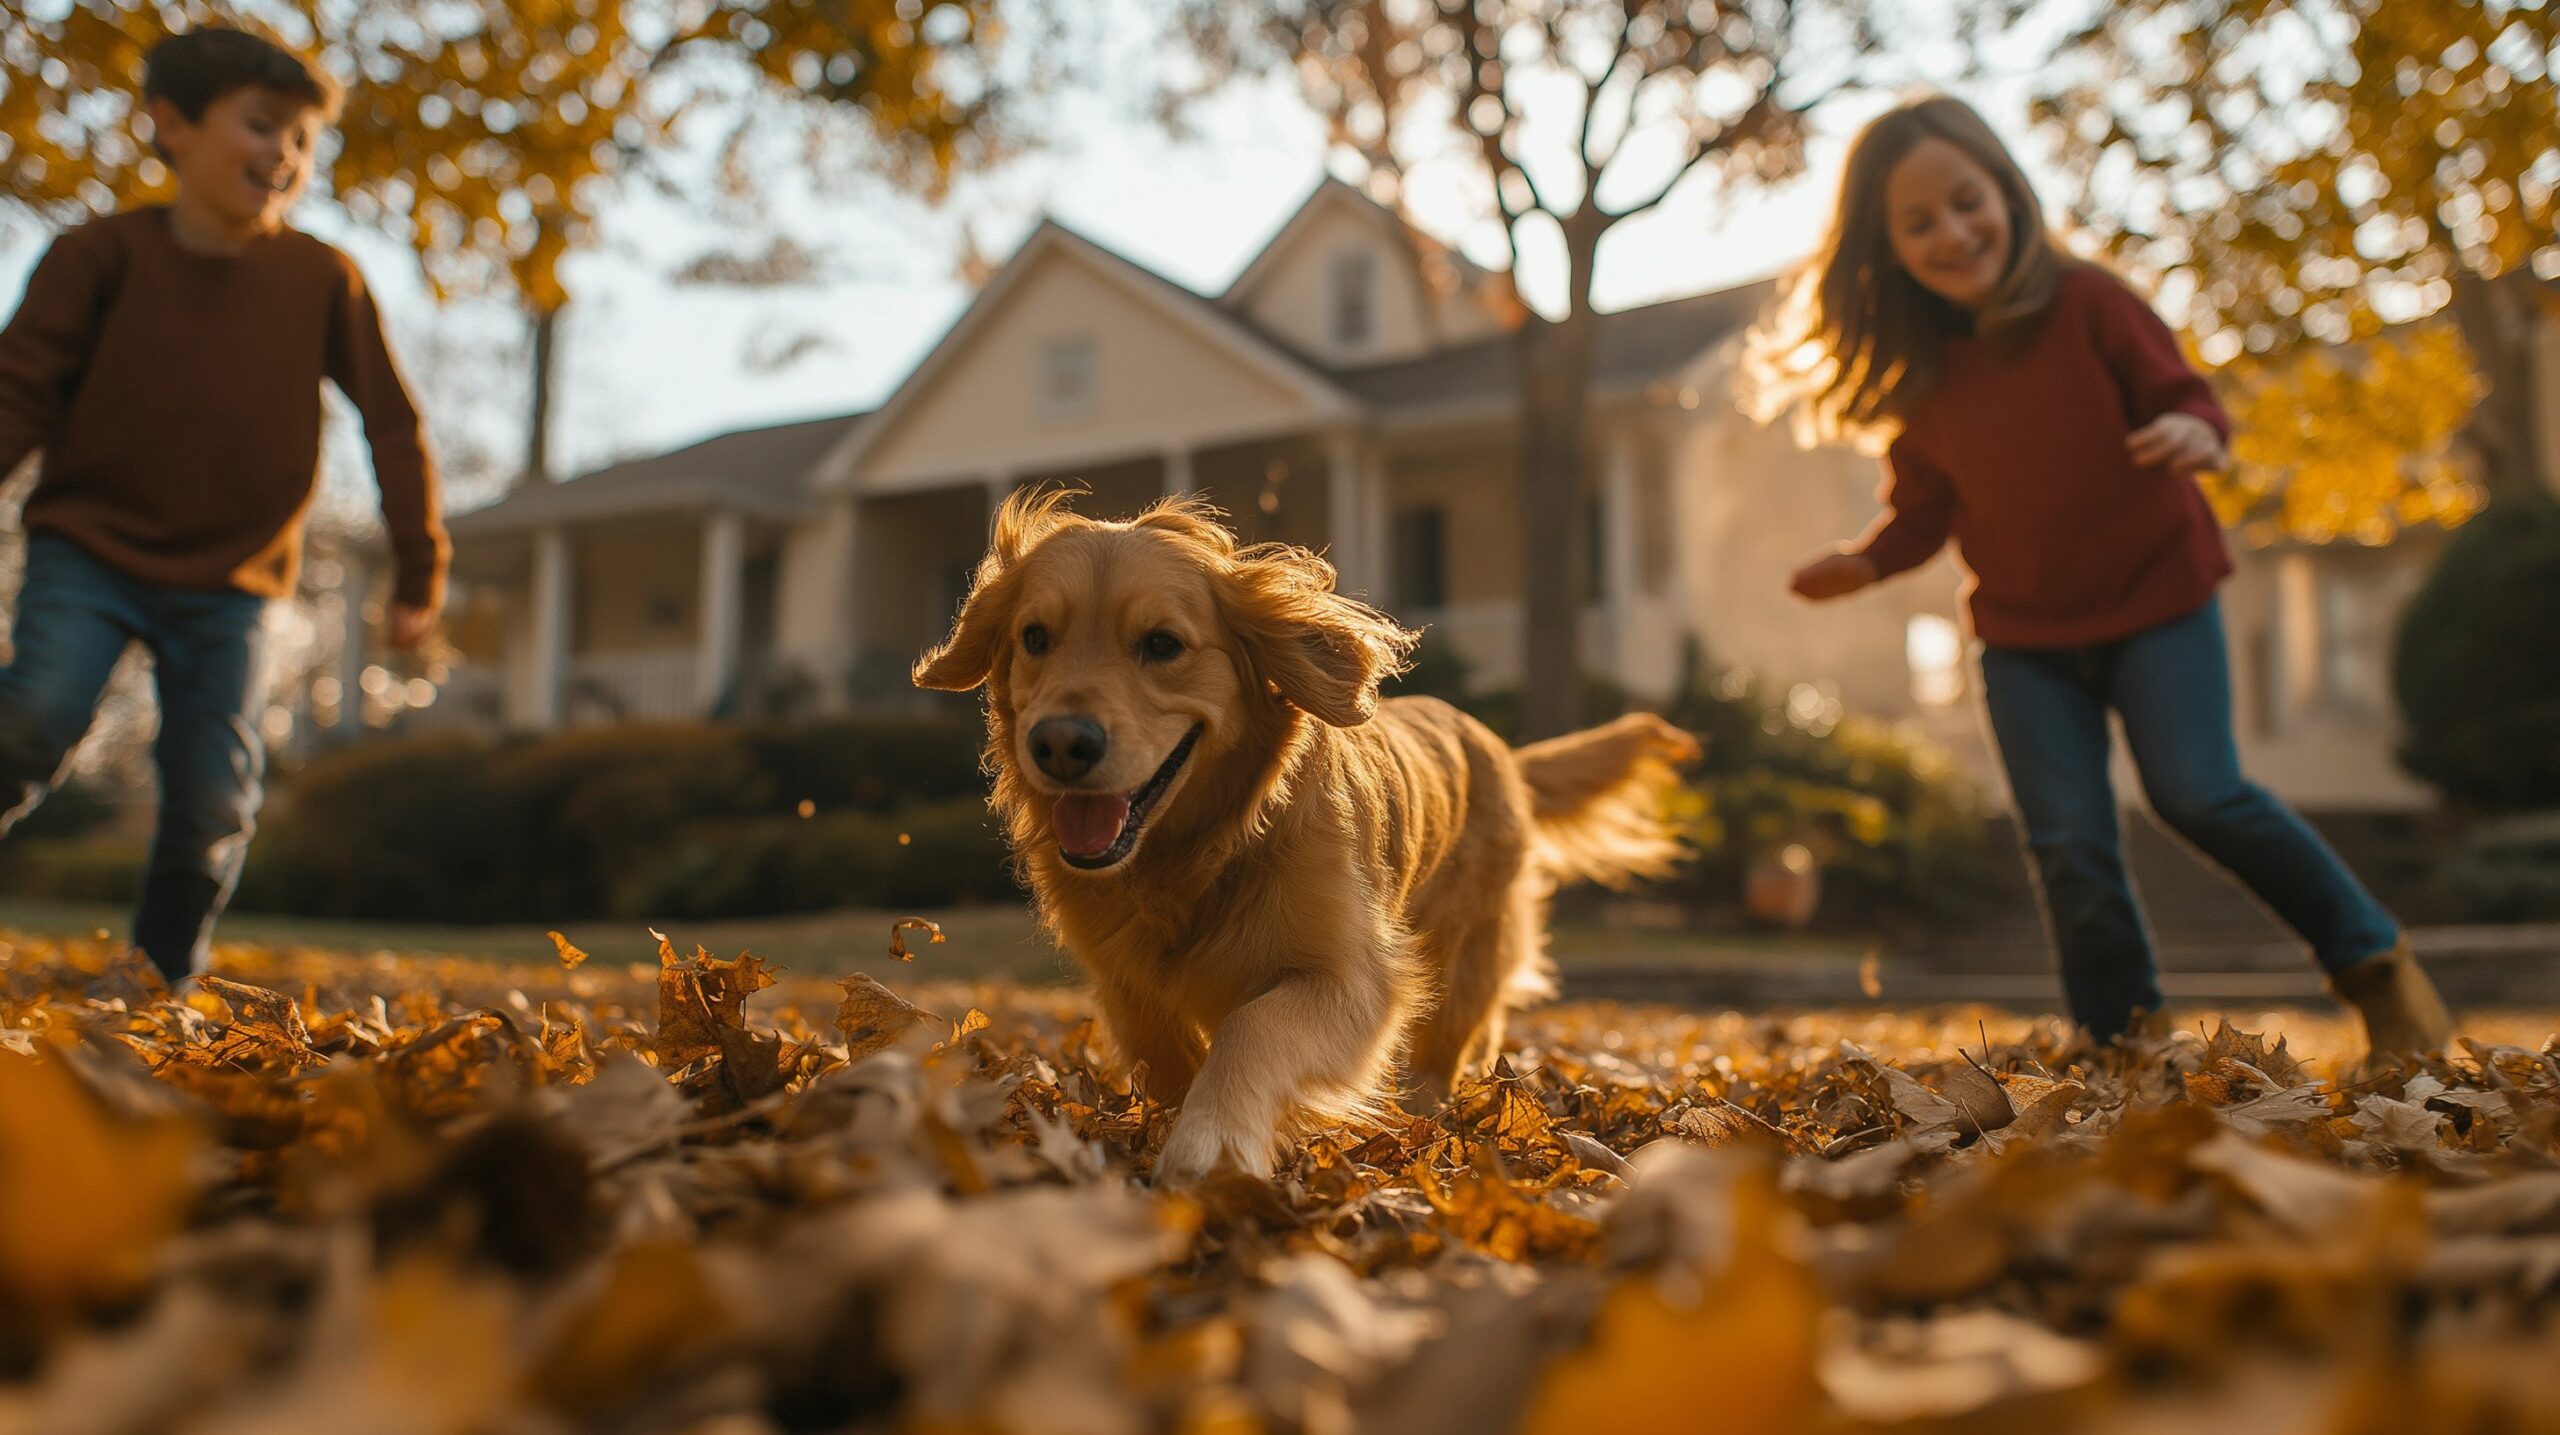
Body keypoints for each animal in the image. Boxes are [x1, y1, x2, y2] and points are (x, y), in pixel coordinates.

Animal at [921, 486, 1699, 1181]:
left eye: (1162, 644)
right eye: (1034, 638)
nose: (1059, 744)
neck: (1200, 853)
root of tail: (1500, 748)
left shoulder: (1349, 977)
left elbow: (1253, 1027)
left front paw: (1214, 1141)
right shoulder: (1125, 980)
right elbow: (1165, 1055)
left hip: (1466, 960)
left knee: (1443, 1053)